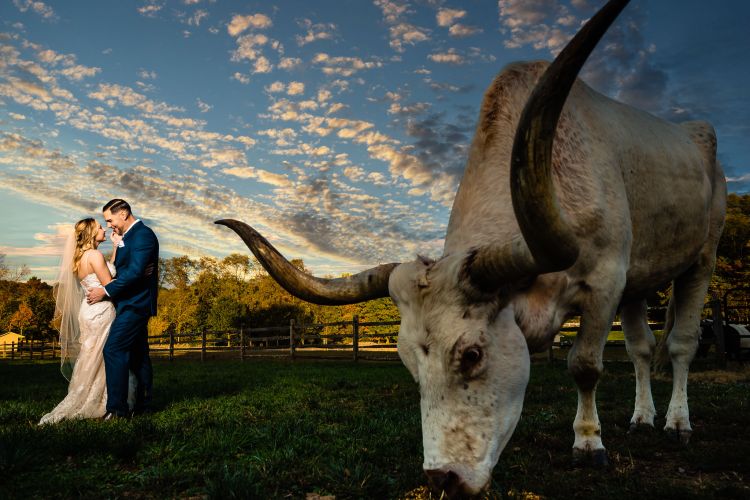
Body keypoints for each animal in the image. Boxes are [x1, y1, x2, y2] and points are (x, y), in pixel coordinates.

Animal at [216, 0, 728, 496]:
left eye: (472, 355)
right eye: (407, 362)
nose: (442, 478)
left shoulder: (606, 281)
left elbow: (584, 365)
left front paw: (588, 443)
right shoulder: (618, 283)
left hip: (700, 259)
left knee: (681, 344)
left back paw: (677, 423)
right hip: (640, 281)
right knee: (642, 350)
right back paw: (642, 418)